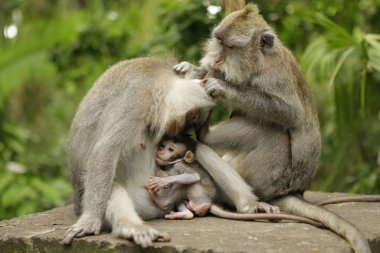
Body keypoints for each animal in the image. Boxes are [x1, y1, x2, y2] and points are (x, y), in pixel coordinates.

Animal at [145, 134, 324, 227]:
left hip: (199, 197)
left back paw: (162, 201)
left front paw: (162, 180)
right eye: (163, 145)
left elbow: (192, 177)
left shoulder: (181, 165)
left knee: (185, 186)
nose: (160, 151)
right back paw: (184, 213)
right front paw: (163, 176)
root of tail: (209, 202)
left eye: (170, 149)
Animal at [174, 3, 372, 253]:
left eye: (230, 47)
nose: (217, 60)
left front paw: (220, 86)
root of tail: (292, 191)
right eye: (219, 42)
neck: (258, 63)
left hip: (268, 176)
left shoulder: (273, 76)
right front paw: (194, 69)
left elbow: (288, 112)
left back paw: (205, 136)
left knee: (270, 131)